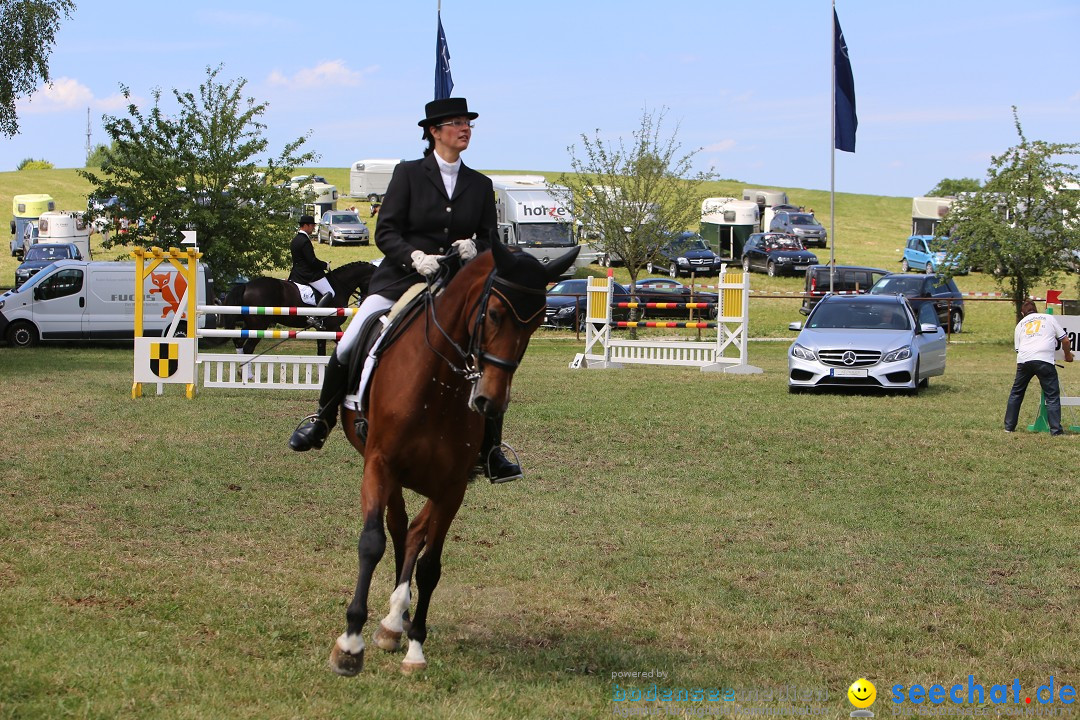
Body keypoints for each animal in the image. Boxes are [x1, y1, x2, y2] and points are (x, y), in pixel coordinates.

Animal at [219, 262, 375, 358]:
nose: (364, 301)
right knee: (248, 347)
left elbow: (321, 351)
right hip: (259, 325)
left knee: (239, 342)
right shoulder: (332, 327)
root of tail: (246, 285)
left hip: (251, 323)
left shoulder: (323, 329)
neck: (340, 286)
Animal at [328, 241, 583, 677]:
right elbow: (372, 542)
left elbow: (431, 565)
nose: (489, 401)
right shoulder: (380, 465)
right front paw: (350, 644)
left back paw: (396, 620)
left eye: (535, 324)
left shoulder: (453, 487)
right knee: (399, 529)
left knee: (414, 532)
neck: (437, 385)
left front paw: (415, 646)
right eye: (494, 313)